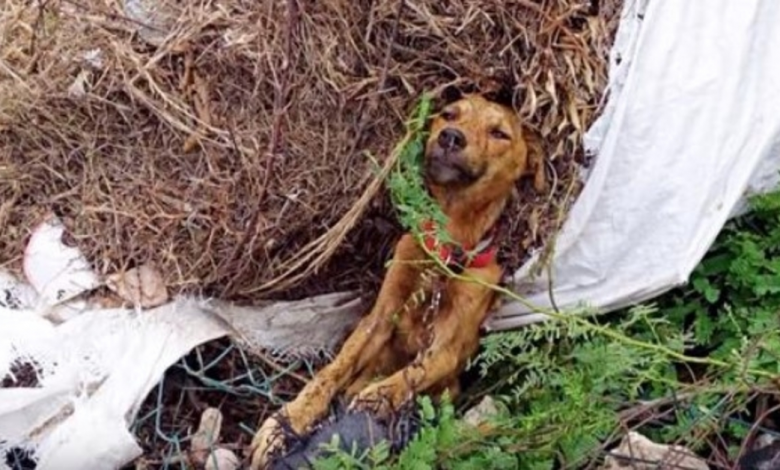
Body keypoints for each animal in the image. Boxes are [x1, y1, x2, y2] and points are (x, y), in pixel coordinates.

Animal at [248, 93, 544, 468]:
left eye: (499, 133)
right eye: (449, 114)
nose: (450, 137)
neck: (442, 251)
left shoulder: (449, 348)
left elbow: (416, 370)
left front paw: (378, 397)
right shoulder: (378, 318)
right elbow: (332, 370)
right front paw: (289, 418)